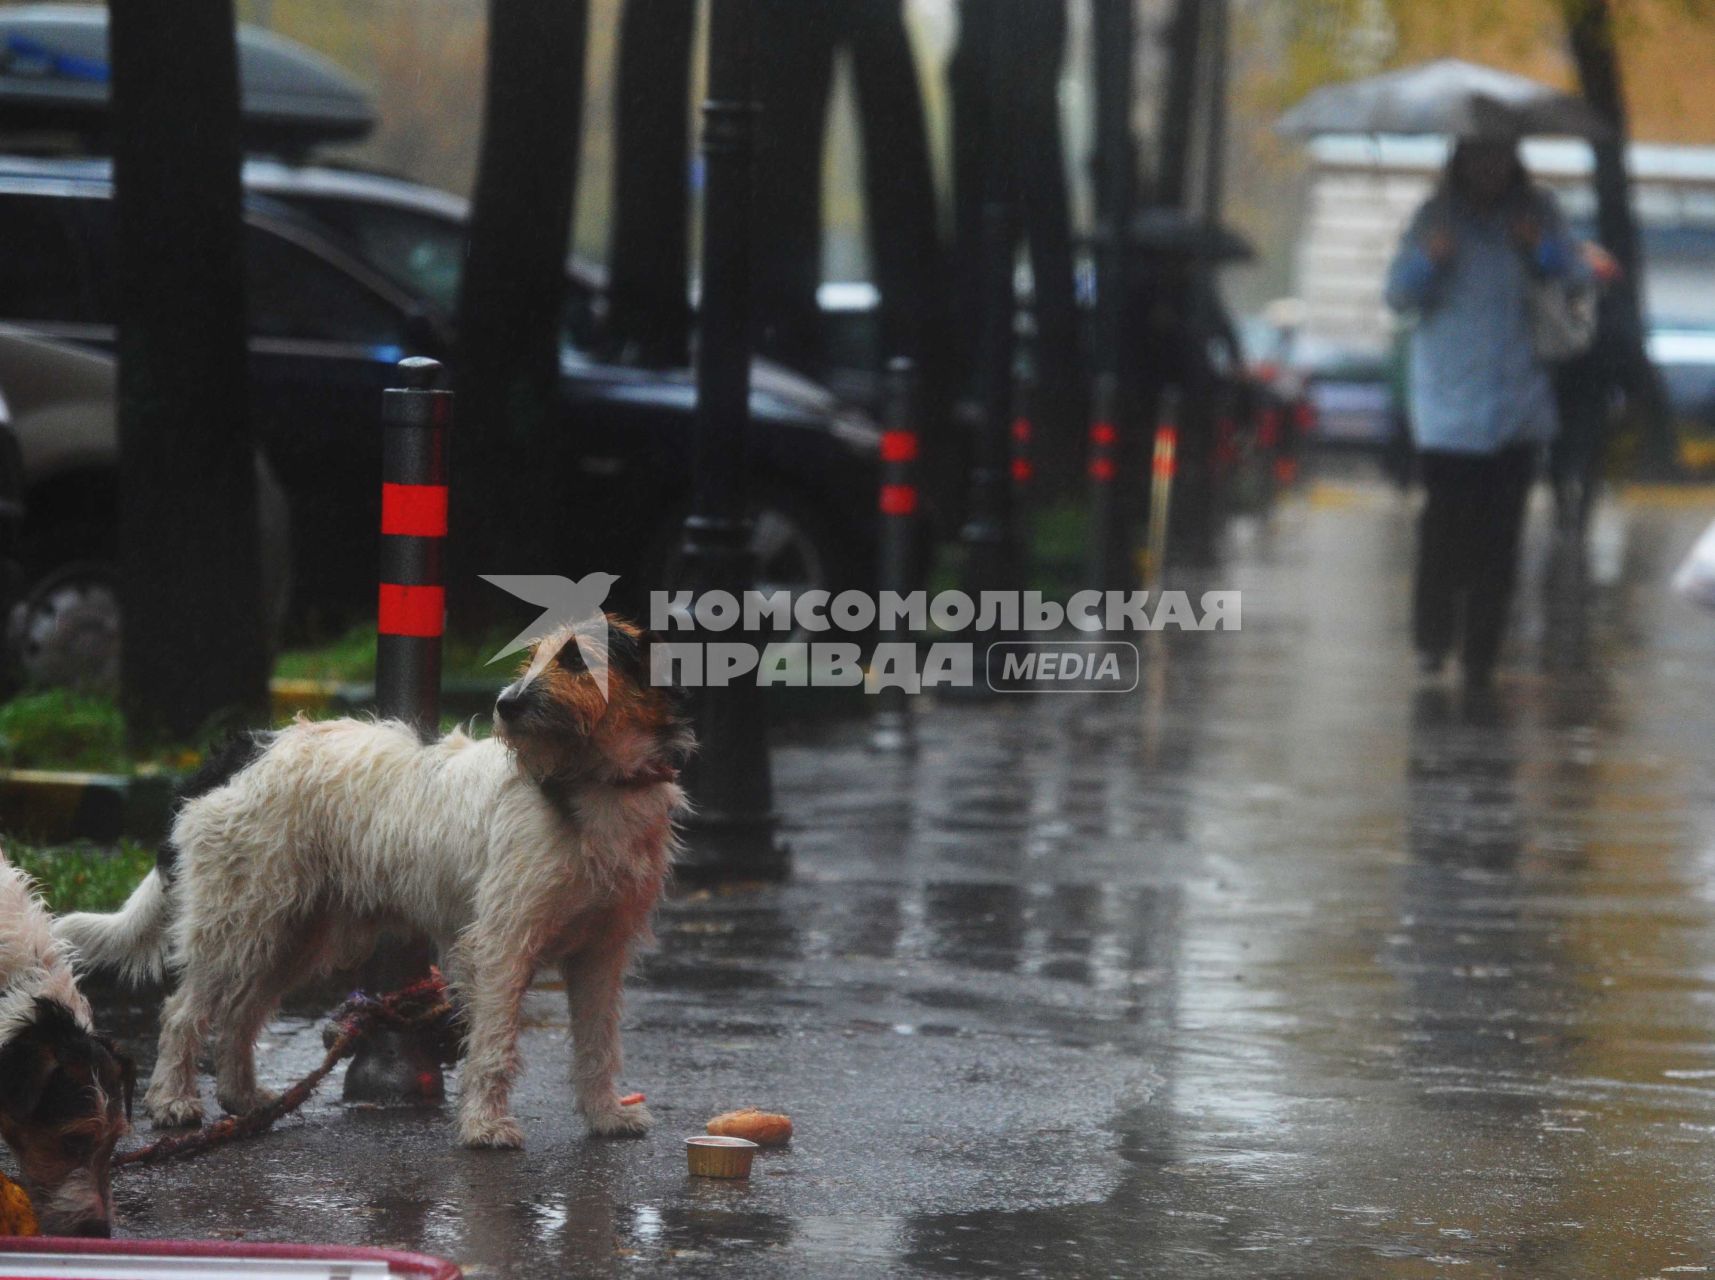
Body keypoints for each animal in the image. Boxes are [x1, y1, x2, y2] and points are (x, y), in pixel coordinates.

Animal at [60, 617, 689, 1146]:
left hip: (293, 930)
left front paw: (605, 1115)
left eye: (579, 659)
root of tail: (233, 754)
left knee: (240, 1013)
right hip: (238, 919)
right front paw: (485, 1126)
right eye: (530, 657)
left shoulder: (601, 952)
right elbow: (493, 1045)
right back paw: (172, 1101)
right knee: (183, 1012)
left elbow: (599, 1043)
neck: (591, 785)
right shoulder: (501, 944)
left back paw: (245, 1099)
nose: (507, 706)